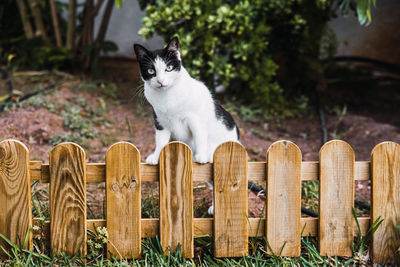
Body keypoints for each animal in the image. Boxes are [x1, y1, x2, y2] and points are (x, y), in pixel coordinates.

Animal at [134, 36, 241, 165]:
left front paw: (201, 156)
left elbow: (199, 136)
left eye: (169, 68)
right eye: (150, 71)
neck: (166, 96)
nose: (160, 81)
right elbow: (160, 141)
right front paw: (156, 156)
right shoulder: (160, 121)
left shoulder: (195, 119)